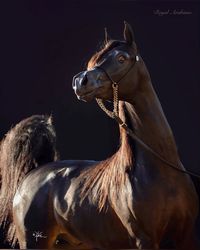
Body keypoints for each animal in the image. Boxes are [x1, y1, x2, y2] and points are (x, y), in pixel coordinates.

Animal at [0, 22, 198, 249]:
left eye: (121, 58)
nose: (80, 81)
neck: (161, 170)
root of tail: (33, 173)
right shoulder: (144, 239)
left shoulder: (186, 235)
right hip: (34, 242)